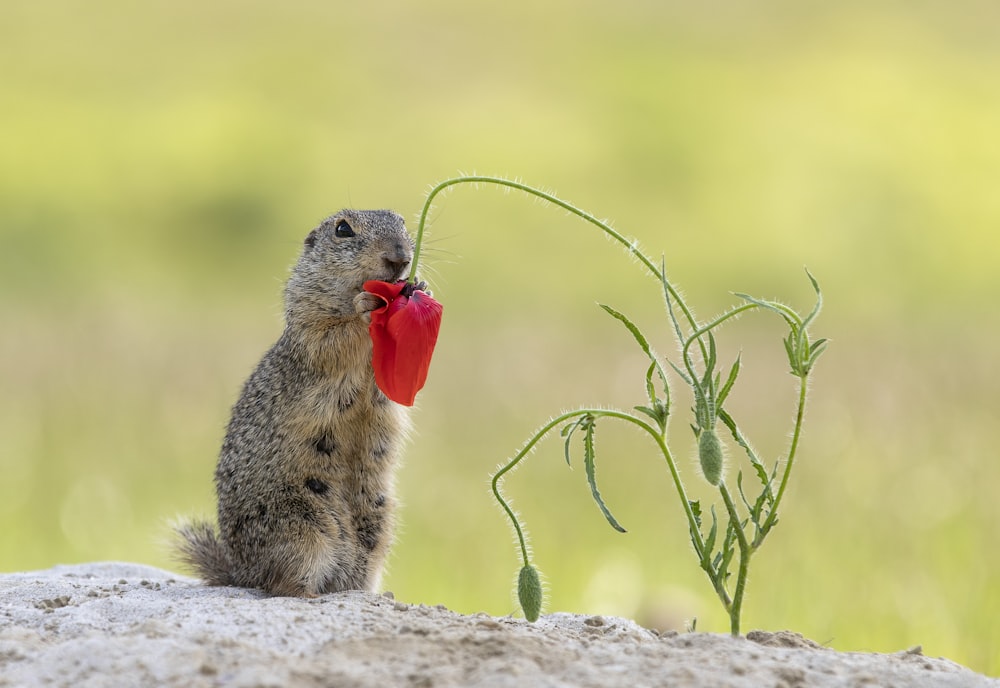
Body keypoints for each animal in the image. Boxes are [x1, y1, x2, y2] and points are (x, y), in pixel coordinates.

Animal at [174, 210, 416, 596]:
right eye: (343, 229)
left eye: (403, 222)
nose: (400, 256)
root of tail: (241, 573)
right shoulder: (308, 327)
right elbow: (332, 338)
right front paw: (366, 306)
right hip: (300, 525)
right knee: (280, 582)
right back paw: (307, 592)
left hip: (377, 523)